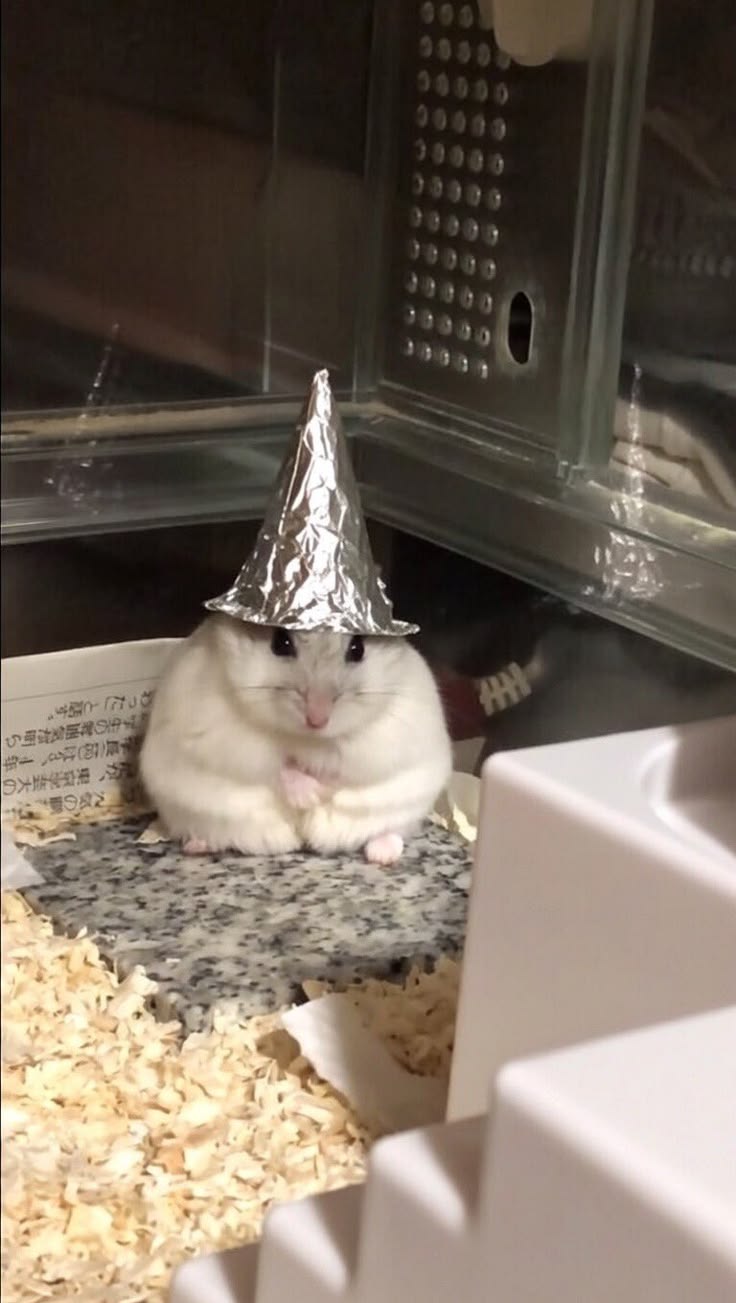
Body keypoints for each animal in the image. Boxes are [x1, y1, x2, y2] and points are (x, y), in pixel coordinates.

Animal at [139, 614, 452, 866]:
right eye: (281, 643)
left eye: (358, 648)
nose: (317, 720)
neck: (307, 739)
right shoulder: (230, 741)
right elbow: (278, 767)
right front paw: (310, 797)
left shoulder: (375, 745)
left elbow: (341, 765)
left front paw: (320, 794)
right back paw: (196, 845)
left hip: (405, 807)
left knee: (392, 831)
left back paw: (382, 855)